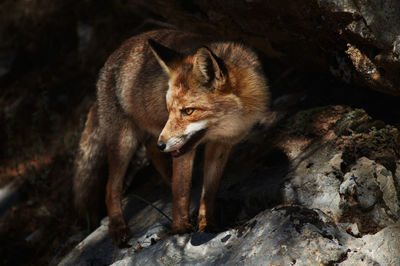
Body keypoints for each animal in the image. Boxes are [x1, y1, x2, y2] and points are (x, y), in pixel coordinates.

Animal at [73, 28, 270, 246]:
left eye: (188, 111)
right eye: (169, 110)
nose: (163, 145)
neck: (226, 126)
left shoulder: (221, 146)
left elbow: (209, 192)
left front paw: (207, 225)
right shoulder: (184, 150)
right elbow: (180, 193)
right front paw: (181, 229)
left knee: (151, 150)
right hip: (125, 143)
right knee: (111, 188)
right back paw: (117, 227)